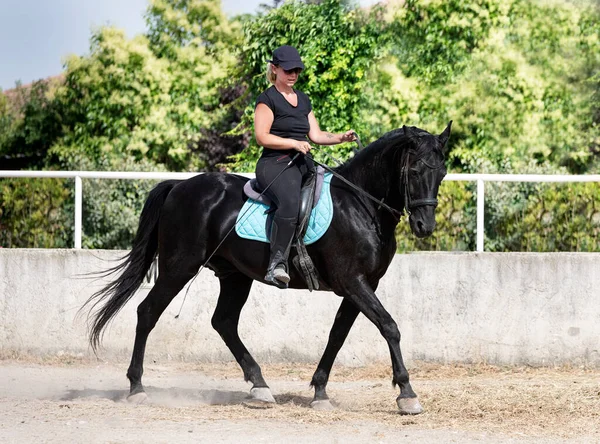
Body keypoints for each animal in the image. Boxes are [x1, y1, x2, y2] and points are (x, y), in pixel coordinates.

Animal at [83, 120, 450, 412]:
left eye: (442, 173)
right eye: (414, 172)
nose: (424, 226)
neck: (360, 204)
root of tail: (179, 186)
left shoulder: (362, 285)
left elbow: (337, 335)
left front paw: (320, 391)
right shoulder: (352, 281)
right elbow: (389, 326)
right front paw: (407, 393)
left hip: (234, 276)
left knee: (223, 322)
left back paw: (259, 385)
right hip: (179, 267)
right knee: (148, 312)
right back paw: (137, 388)